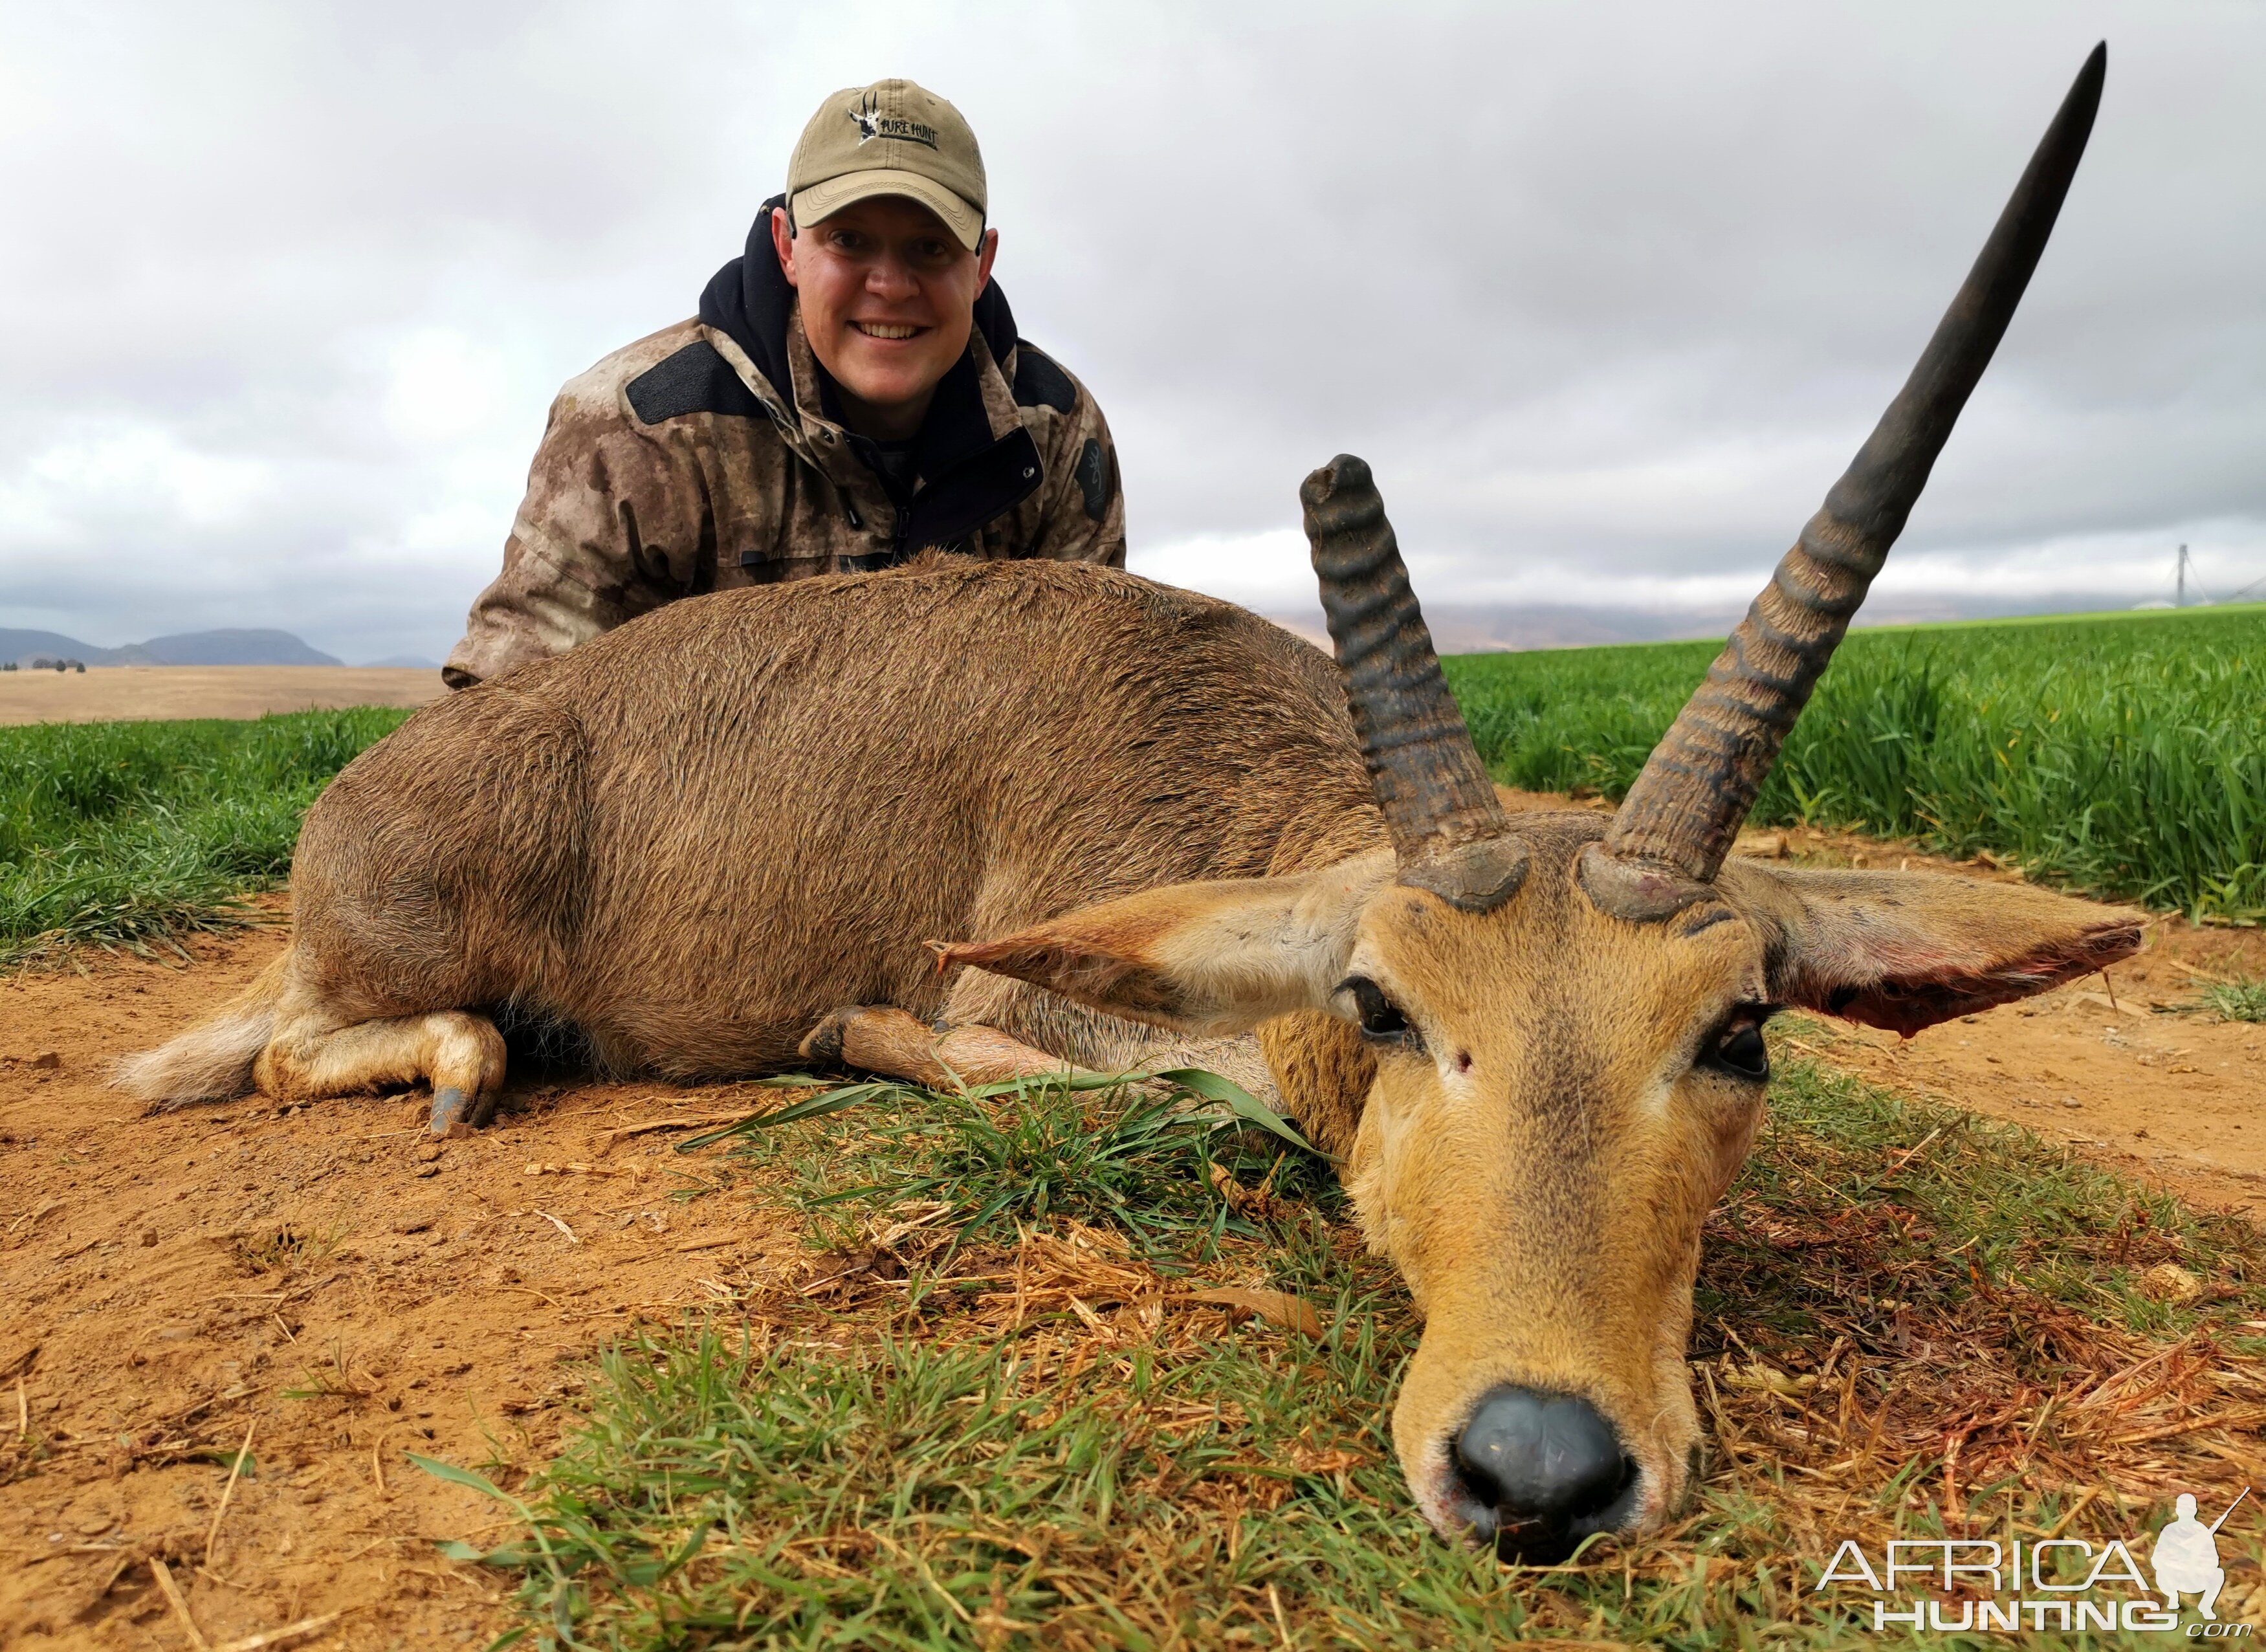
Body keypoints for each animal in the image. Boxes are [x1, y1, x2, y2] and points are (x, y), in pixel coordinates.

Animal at [128, 48, 2139, 1550]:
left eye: (1737, 1029)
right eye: (1381, 1006)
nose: (1539, 1466)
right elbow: (1165, 1097)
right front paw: (870, 1037)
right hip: (387, 976)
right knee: (296, 1050)